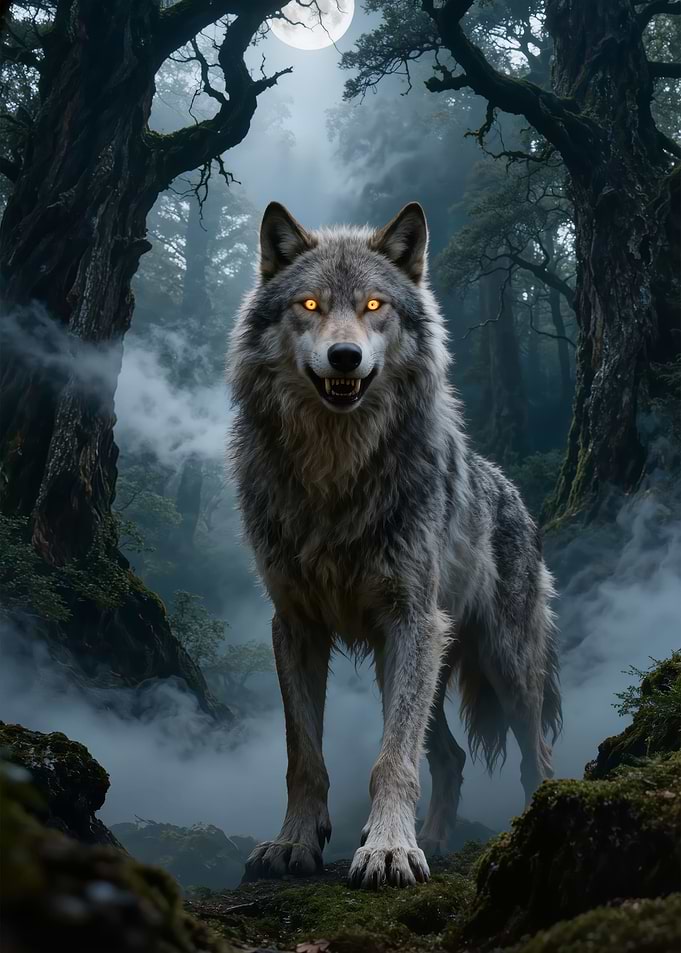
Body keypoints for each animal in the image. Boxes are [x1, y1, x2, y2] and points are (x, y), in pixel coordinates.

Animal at [226, 200, 562, 890]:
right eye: (309, 305)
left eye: (375, 306)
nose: (344, 356)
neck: (335, 474)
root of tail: (513, 492)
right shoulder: (294, 625)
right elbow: (304, 757)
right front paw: (294, 844)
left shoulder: (410, 618)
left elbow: (391, 759)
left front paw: (386, 851)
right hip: (409, 660)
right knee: (452, 758)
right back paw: (431, 837)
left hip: (500, 665)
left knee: (534, 753)